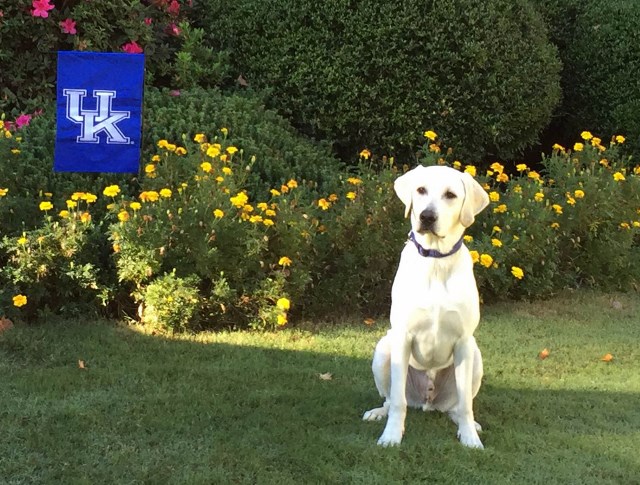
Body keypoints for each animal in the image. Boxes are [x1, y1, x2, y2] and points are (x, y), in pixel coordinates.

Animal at [364, 164, 490, 448]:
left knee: (457, 406)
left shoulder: (464, 341)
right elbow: (398, 402)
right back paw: (378, 413)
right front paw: (391, 436)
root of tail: (427, 400)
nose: (427, 216)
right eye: (421, 190)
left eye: (450, 195)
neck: (436, 260)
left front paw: (470, 438)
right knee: (390, 399)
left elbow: (466, 405)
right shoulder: (402, 336)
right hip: (383, 349)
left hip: (475, 356)